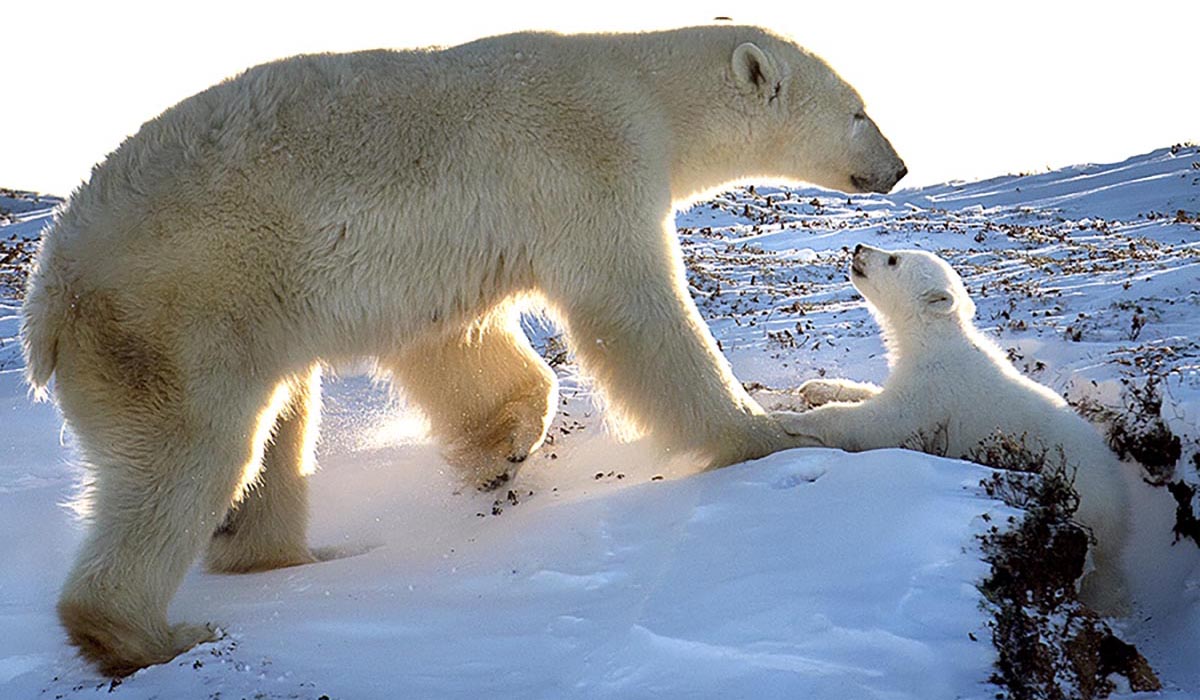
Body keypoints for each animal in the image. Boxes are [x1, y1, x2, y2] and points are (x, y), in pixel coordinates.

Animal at [21, 25, 902, 672]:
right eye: (858, 109)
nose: (897, 167)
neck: (643, 88)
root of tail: (49, 295)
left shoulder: (452, 253)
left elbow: (454, 341)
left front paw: (501, 448)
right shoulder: (585, 161)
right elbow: (630, 308)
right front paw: (762, 434)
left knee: (277, 428)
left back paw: (281, 553)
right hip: (180, 313)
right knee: (188, 456)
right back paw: (148, 633)